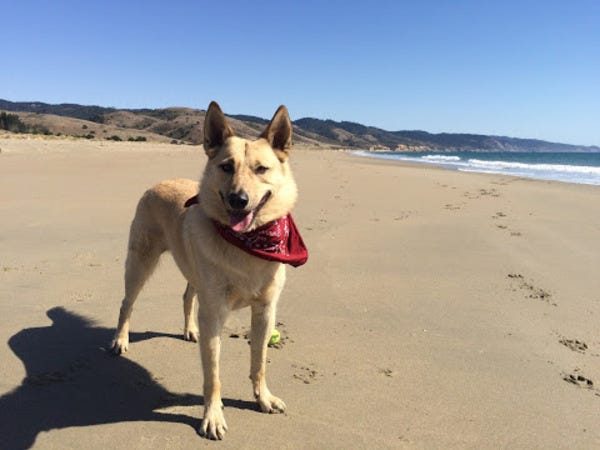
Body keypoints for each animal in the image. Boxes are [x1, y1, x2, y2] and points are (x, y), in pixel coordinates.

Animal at [111, 103, 310, 440]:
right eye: (227, 167)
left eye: (262, 169)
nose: (238, 200)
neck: (249, 243)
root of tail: (158, 182)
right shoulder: (214, 313)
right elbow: (213, 376)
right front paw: (213, 416)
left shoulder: (265, 310)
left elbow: (259, 362)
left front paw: (263, 398)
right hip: (140, 263)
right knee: (127, 303)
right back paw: (120, 340)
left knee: (187, 295)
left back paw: (189, 329)